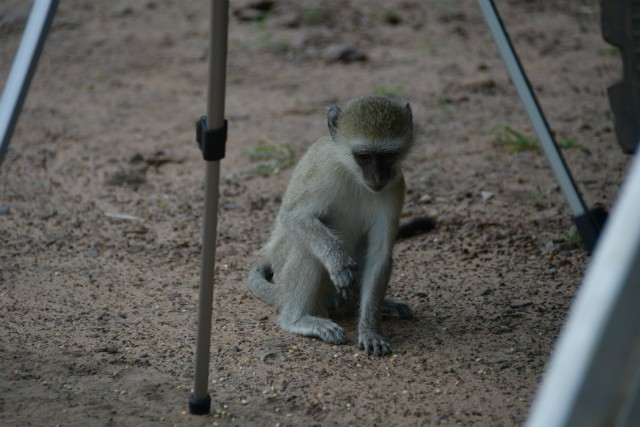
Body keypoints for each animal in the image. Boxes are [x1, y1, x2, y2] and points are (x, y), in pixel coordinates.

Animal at [248, 95, 412, 356]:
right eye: (364, 156)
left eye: (388, 155)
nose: (377, 178)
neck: (354, 175)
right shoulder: (325, 172)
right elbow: (293, 217)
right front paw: (337, 261)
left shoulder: (394, 185)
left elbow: (379, 254)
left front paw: (369, 329)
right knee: (304, 247)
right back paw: (296, 320)